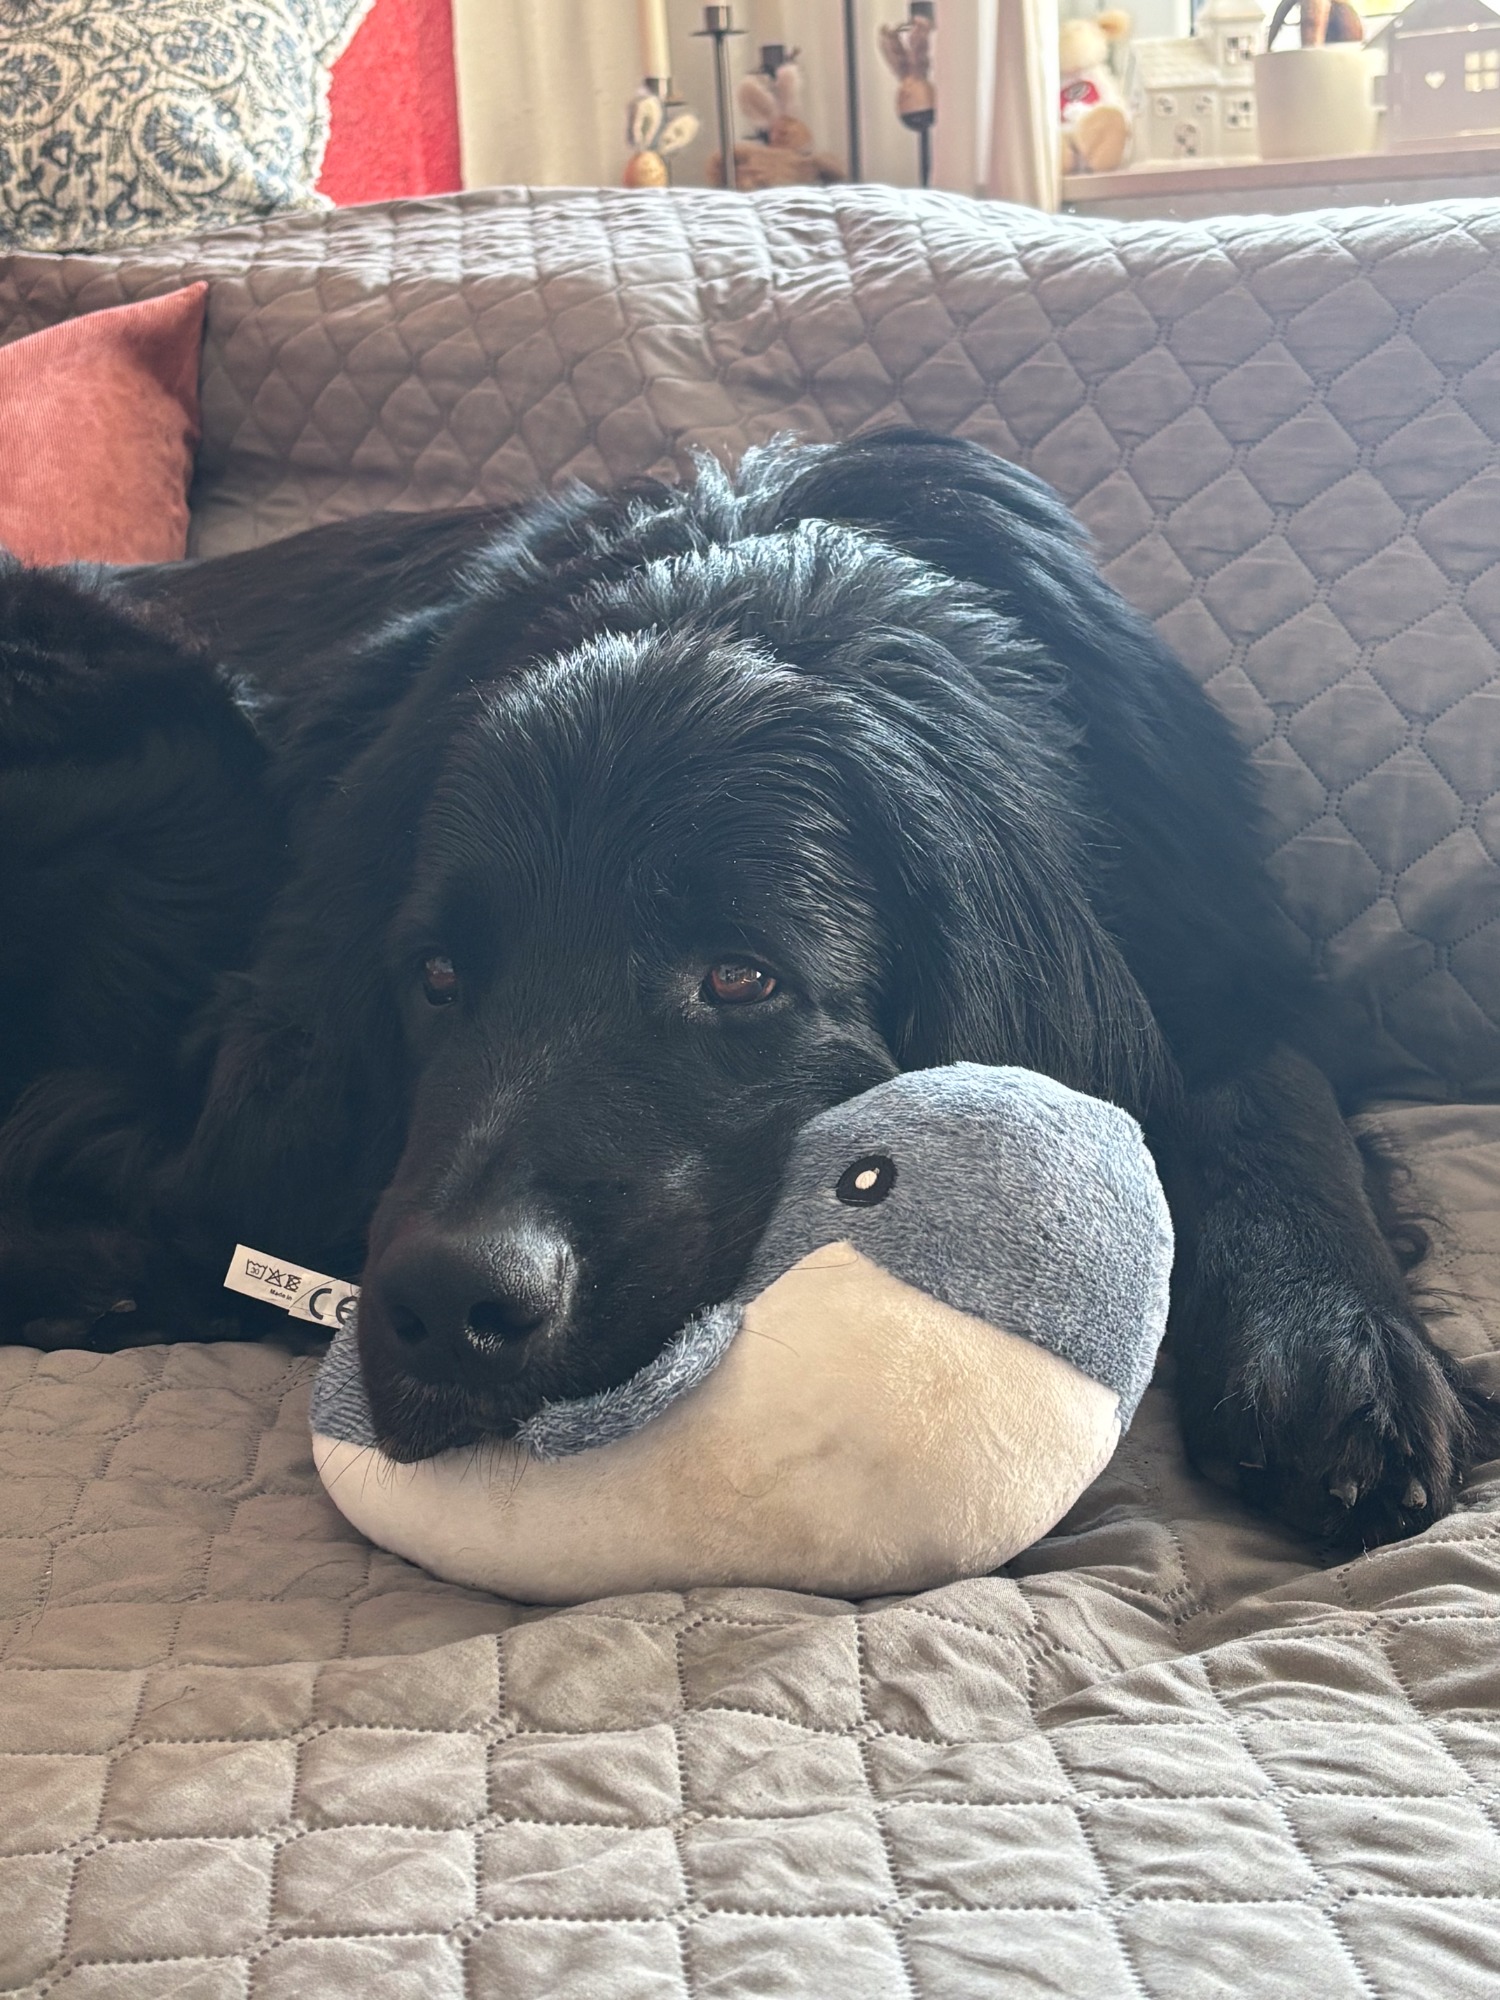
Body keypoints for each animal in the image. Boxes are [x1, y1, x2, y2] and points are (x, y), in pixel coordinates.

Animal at [1, 431, 1489, 1546]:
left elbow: (1277, 1096)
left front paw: (1335, 1350)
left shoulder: (1216, 932)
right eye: (437, 976)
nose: (444, 1305)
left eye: (740, 975)